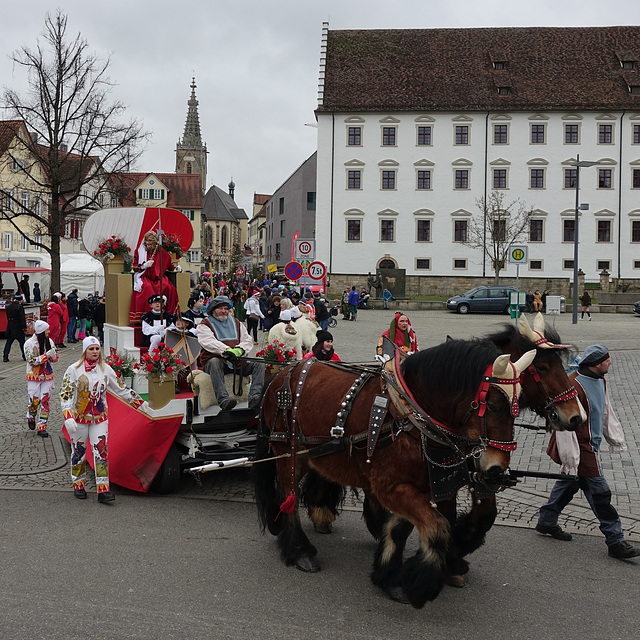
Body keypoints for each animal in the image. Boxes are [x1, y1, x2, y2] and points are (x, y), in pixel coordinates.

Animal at [254, 338, 536, 608]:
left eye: (518, 407)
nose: (497, 469)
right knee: (288, 496)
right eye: (493, 405)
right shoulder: (391, 487)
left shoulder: (416, 486)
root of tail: (285, 372)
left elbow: (402, 529)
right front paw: (420, 584)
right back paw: (299, 550)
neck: (408, 418)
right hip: (288, 452)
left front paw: (389, 576)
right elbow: (437, 527)